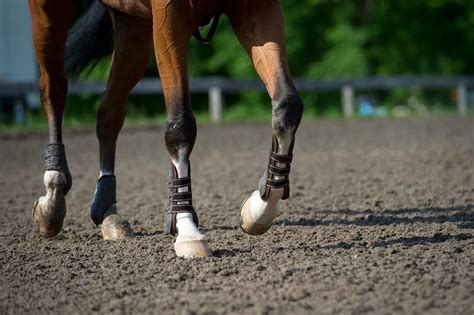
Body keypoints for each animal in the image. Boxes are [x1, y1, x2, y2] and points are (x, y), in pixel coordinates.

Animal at [28, 0, 304, 260]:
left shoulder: (257, 7)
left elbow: (287, 105)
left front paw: (259, 210)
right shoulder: (169, 15)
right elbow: (180, 126)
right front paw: (188, 230)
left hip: (133, 24)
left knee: (109, 111)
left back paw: (108, 212)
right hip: (48, 12)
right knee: (53, 89)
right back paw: (52, 199)